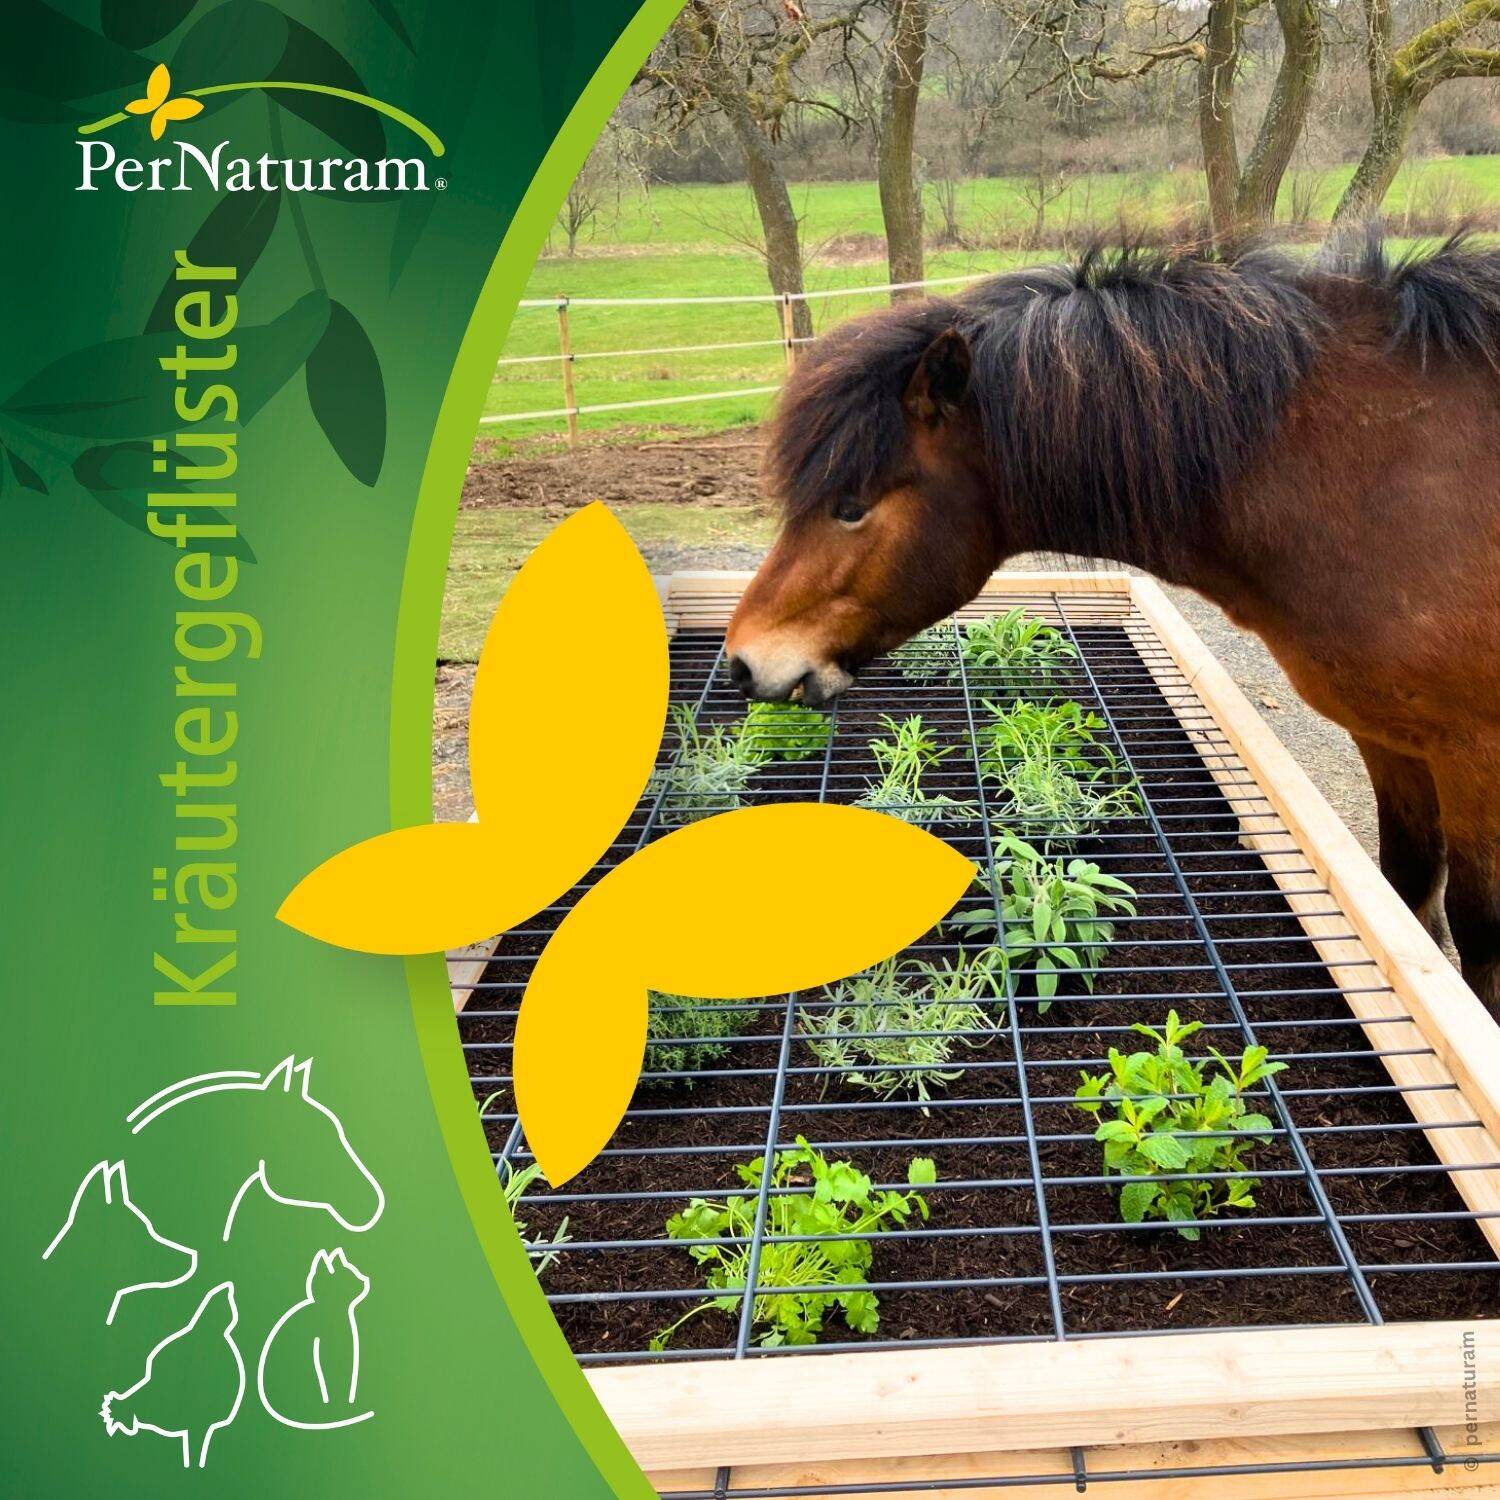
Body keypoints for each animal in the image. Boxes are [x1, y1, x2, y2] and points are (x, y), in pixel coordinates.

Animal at [725, 234, 1500, 1012]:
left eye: (851, 506)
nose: (742, 659)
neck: (1364, 482)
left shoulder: (1473, 752)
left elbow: (1477, 927)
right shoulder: (1390, 737)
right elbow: (1411, 893)